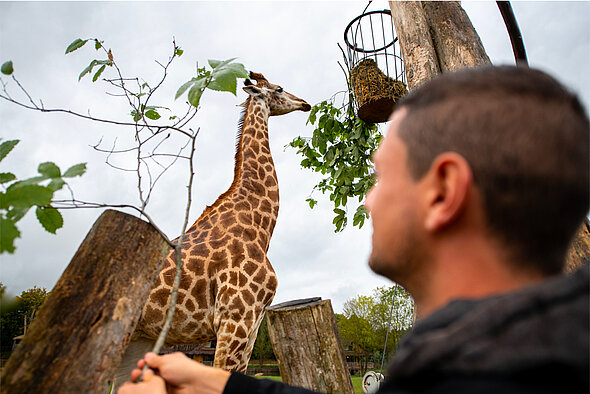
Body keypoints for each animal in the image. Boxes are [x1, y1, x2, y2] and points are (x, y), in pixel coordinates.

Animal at [114, 71, 312, 384]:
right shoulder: (234, 317)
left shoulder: (254, 322)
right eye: (280, 88)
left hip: (139, 338)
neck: (258, 227)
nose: (305, 103)